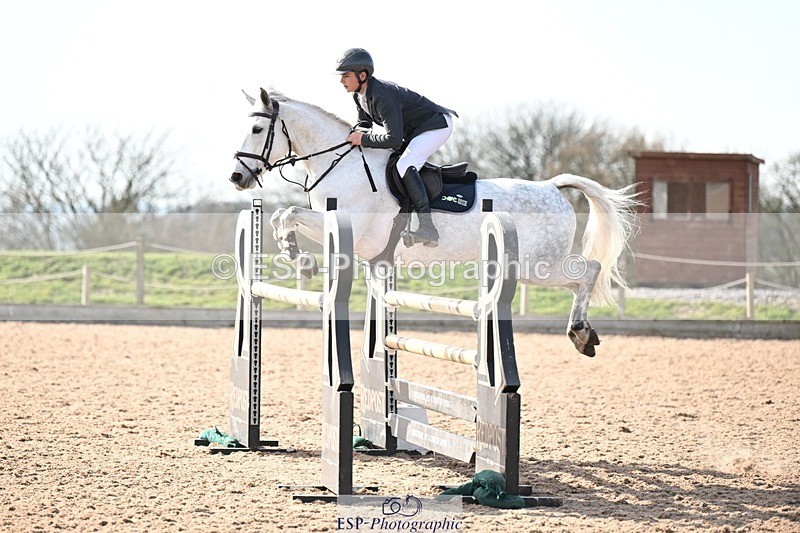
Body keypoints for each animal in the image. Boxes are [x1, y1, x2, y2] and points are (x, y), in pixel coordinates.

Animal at [230, 88, 638, 356]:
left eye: (256, 130)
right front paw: (296, 254)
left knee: (588, 271)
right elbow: (283, 216)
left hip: (536, 266)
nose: (237, 177)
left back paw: (581, 333)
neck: (340, 164)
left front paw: (302, 260)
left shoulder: (350, 230)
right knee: (583, 275)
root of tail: (551, 186)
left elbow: (289, 214)